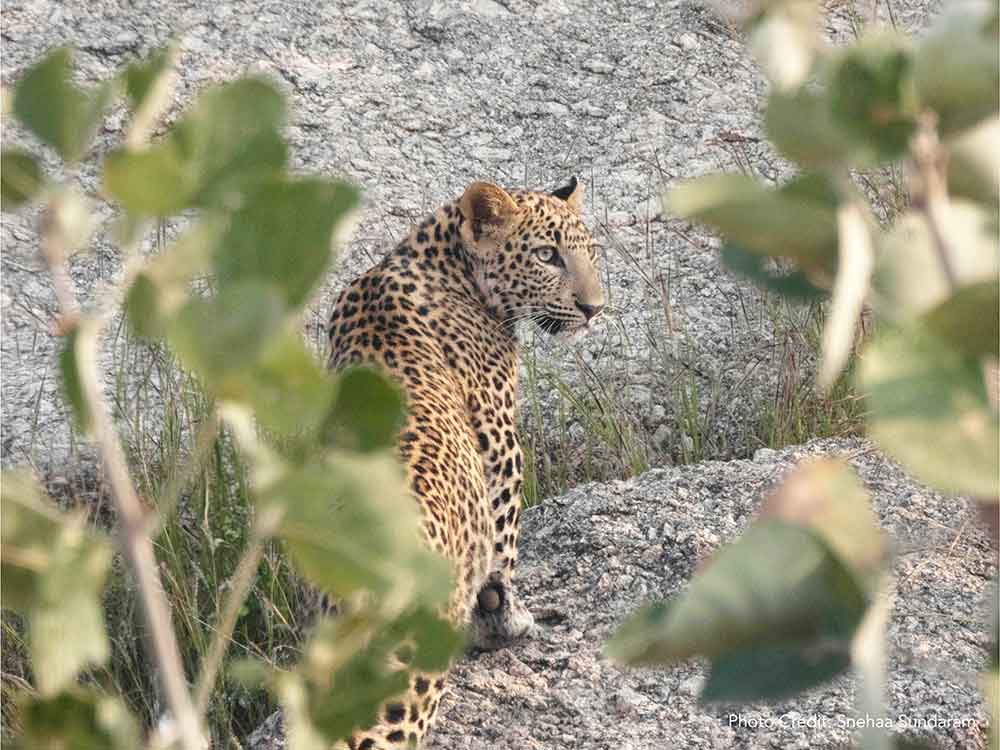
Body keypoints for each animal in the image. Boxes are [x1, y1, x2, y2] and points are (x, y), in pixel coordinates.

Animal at [325, 176, 605, 749]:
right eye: (547, 256)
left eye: (588, 251)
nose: (595, 308)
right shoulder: (499, 444)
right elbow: (503, 547)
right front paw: (506, 621)